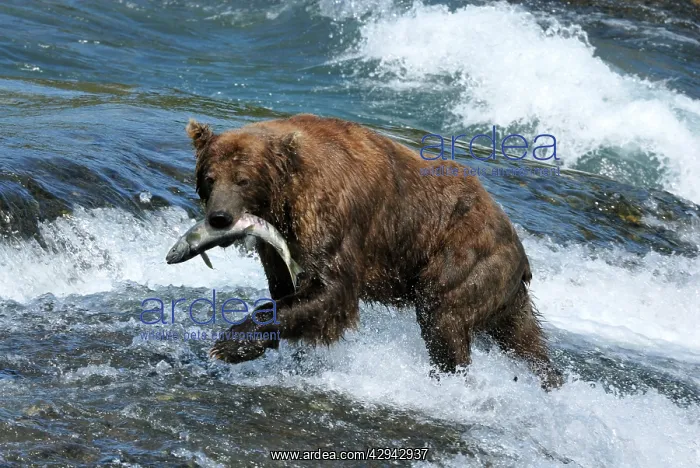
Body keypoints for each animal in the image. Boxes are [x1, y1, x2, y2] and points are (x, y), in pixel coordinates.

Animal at [185, 114, 563, 390]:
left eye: (243, 179)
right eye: (210, 178)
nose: (220, 217)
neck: (283, 201)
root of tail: (520, 251)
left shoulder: (330, 213)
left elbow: (331, 290)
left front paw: (228, 345)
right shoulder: (280, 244)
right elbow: (287, 288)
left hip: (463, 256)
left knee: (442, 318)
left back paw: (447, 379)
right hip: (501, 288)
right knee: (524, 339)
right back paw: (549, 379)